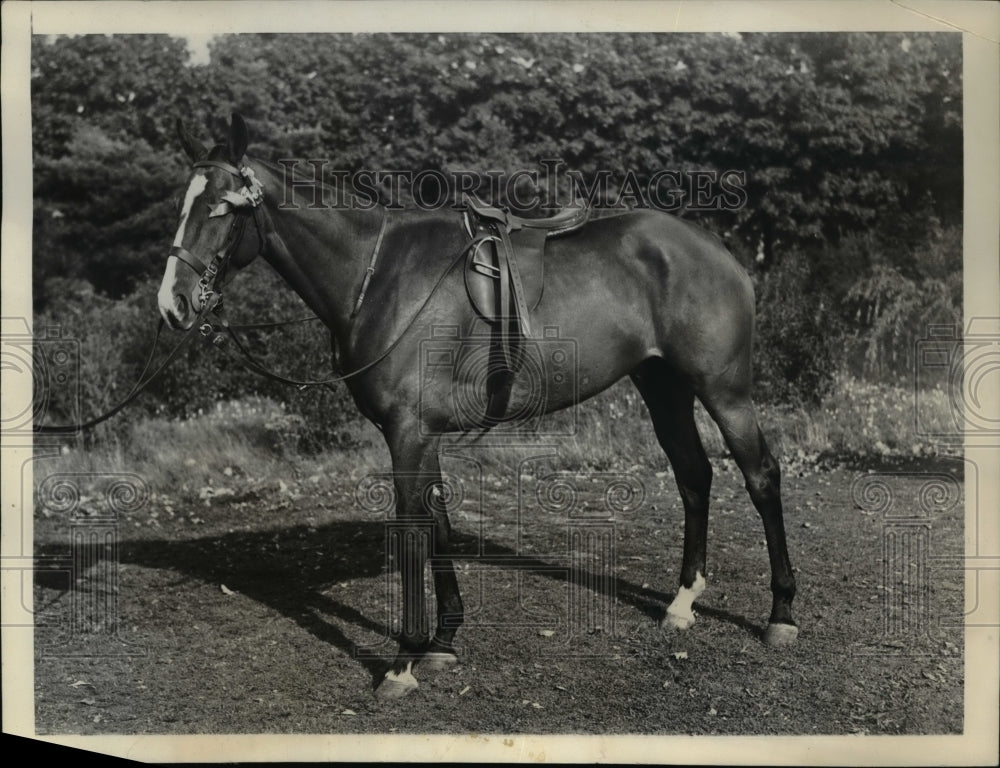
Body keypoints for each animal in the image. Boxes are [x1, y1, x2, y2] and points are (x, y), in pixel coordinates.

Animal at [157, 113, 797, 699]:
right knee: (693, 475)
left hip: (723, 390)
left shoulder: (407, 432)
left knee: (761, 476)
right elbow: (438, 523)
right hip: (663, 385)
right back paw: (682, 603)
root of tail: (716, 250)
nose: (173, 304)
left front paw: (402, 662)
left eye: (223, 208)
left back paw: (781, 615)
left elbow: (413, 531)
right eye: (183, 206)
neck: (378, 276)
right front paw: (442, 642)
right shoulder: (422, 434)